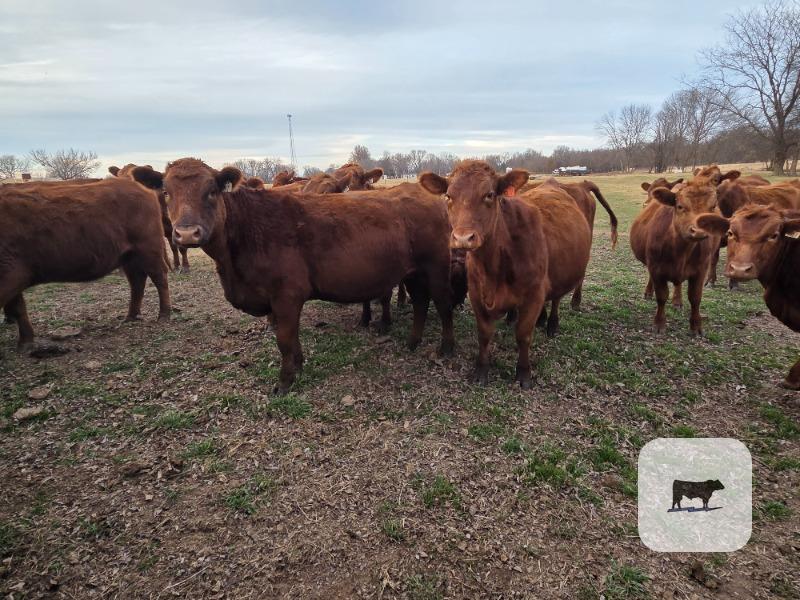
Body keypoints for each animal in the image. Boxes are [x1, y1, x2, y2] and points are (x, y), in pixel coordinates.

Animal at [0, 178, 171, 352]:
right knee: (137, 282)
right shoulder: (15, 280)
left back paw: (164, 314)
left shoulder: (11, 275)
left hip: (149, 250)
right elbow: (19, 308)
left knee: (159, 278)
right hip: (130, 257)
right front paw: (25, 342)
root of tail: (143, 189)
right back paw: (131, 316)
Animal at [131, 158, 455, 394]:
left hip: (437, 267)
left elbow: (285, 339)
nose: (186, 233)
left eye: (212, 191)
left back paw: (446, 348)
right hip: (413, 272)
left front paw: (285, 381)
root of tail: (422, 192)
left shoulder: (286, 296)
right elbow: (291, 340)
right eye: (166, 192)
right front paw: (298, 367)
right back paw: (413, 342)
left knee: (443, 305)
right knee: (421, 302)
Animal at [419, 161, 591, 388]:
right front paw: (481, 369)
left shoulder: (534, 294)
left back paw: (551, 324)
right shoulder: (476, 295)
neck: (494, 266)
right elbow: (484, 334)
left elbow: (523, 335)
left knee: (556, 299)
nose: (463, 238)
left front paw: (524, 372)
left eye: (489, 194)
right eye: (448, 196)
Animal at [630, 172, 730, 334]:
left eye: (712, 207)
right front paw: (659, 323)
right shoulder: (656, 268)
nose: (699, 230)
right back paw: (649, 292)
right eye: (680, 206)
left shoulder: (701, 270)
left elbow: (695, 298)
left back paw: (677, 301)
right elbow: (661, 296)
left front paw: (696, 326)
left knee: (678, 285)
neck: (681, 250)